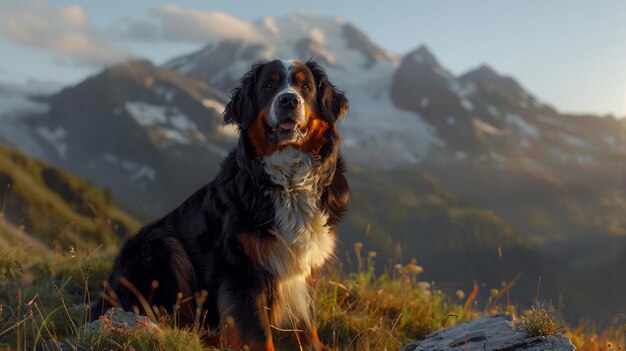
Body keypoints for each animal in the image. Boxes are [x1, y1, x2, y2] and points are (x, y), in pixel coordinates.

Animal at [97, 59, 352, 350]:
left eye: (305, 86)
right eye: (269, 85)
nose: (288, 100)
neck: (289, 182)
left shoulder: (306, 265)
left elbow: (308, 322)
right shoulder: (242, 271)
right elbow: (258, 334)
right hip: (162, 245)